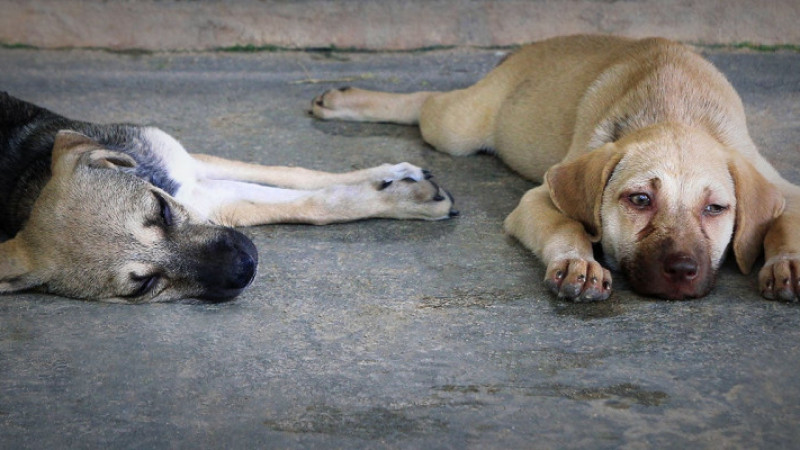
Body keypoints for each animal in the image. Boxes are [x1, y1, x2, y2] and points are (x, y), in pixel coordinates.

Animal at [0, 91, 456, 302]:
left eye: (161, 211)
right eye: (144, 284)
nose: (245, 268)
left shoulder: (188, 166)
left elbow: (296, 174)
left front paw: (393, 175)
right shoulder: (213, 198)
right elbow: (316, 202)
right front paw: (405, 201)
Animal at [310, 35, 800, 302]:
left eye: (716, 209)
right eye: (640, 199)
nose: (681, 271)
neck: (673, 110)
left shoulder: (784, 188)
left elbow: (785, 223)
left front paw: (787, 264)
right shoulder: (539, 197)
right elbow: (567, 225)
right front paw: (578, 263)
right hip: (456, 128)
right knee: (426, 101)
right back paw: (347, 102)